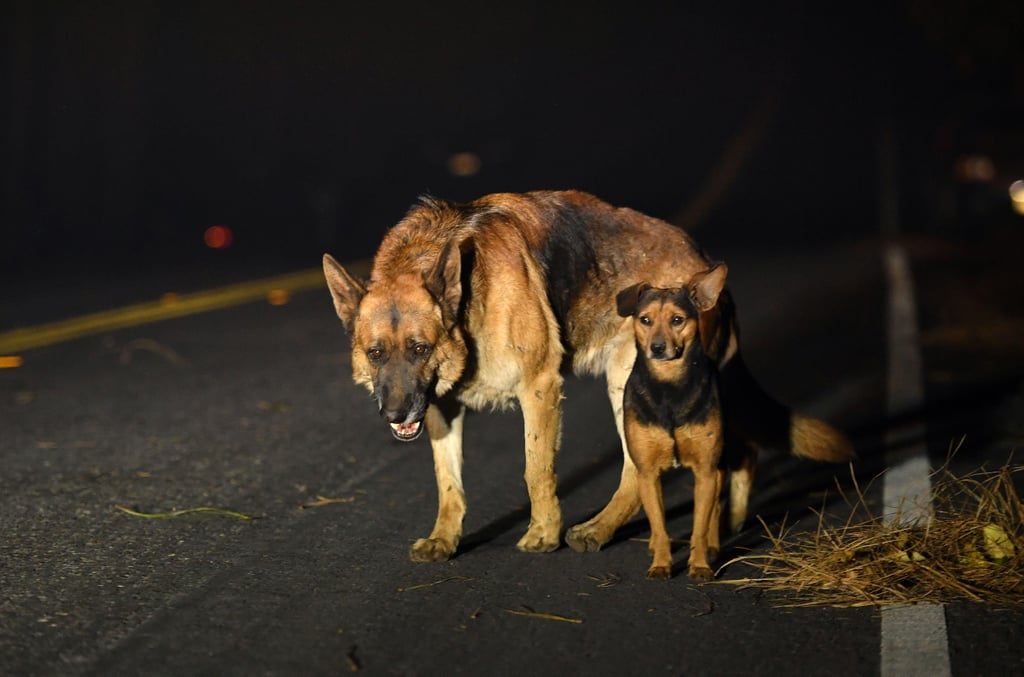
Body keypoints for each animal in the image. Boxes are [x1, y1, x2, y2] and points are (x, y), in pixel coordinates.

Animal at [323, 188, 851, 561]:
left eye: (420, 348)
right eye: (375, 353)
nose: (395, 414)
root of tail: (706, 267)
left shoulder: (538, 388)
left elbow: (536, 469)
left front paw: (543, 533)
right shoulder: (440, 406)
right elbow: (447, 482)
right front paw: (445, 538)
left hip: (628, 382)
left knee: (642, 468)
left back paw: (601, 530)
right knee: (732, 454)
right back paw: (723, 527)